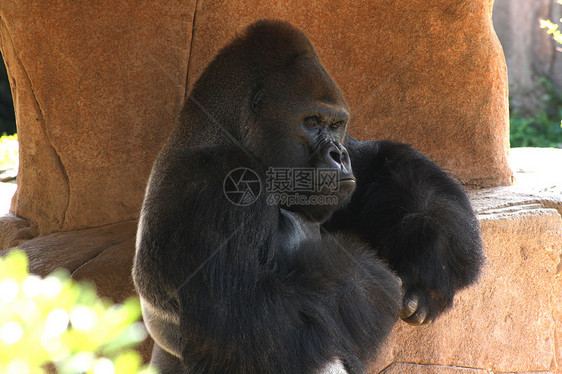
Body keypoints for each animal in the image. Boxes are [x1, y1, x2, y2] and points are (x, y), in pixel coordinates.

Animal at [131, 20, 482, 374]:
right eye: (311, 121)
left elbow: (381, 165)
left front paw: (429, 262)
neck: (225, 132)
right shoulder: (215, 185)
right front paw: (376, 280)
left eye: (336, 124)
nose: (338, 155)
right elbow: (247, 319)